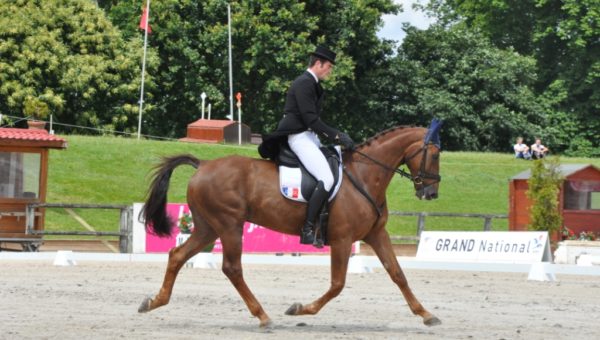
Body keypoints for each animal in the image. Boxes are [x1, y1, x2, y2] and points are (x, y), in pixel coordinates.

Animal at [138, 122, 442, 326]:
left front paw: (426, 314)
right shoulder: (342, 239)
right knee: (232, 268)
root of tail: (203, 165)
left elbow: (397, 273)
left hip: (207, 228)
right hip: (228, 225)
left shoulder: (376, 234)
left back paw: (154, 301)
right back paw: (263, 316)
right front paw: (300, 309)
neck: (365, 175)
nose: (431, 193)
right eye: (436, 154)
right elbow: (337, 284)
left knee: (177, 255)